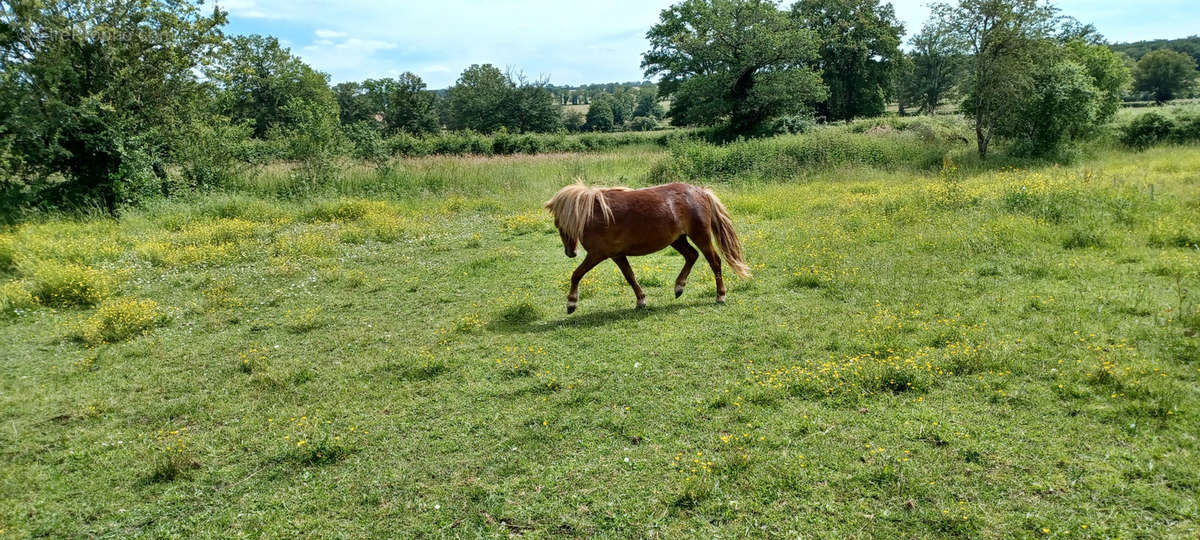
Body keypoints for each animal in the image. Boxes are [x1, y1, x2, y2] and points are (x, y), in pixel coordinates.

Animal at [547, 182, 748, 314]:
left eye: (559, 224)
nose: (570, 253)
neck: (595, 215)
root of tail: (701, 192)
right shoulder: (617, 255)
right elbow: (630, 276)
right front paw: (641, 300)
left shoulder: (597, 254)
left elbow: (576, 274)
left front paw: (571, 303)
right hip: (677, 239)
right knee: (692, 256)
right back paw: (679, 287)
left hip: (701, 236)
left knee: (714, 262)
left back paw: (720, 296)